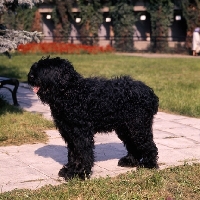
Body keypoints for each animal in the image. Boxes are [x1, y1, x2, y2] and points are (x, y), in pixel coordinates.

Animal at [27, 56, 159, 180]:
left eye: (47, 68)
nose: (31, 76)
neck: (71, 91)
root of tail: (150, 92)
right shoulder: (68, 132)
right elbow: (73, 153)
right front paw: (69, 170)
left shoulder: (81, 132)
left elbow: (82, 153)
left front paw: (80, 173)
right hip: (125, 128)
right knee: (133, 145)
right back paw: (130, 161)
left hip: (138, 126)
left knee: (148, 143)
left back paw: (149, 164)